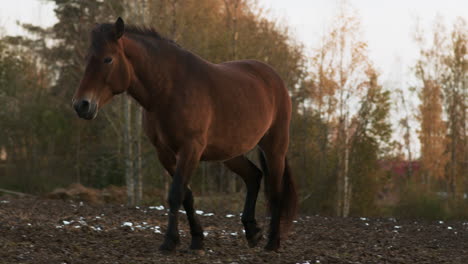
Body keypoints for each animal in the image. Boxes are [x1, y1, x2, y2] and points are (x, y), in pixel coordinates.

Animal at [73, 17, 298, 253]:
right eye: (88, 59)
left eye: (108, 59)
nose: (81, 105)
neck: (168, 89)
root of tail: (273, 77)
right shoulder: (165, 153)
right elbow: (186, 195)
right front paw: (196, 239)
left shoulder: (190, 149)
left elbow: (176, 194)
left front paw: (169, 241)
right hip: (230, 153)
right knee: (254, 176)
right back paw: (252, 231)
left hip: (274, 147)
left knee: (276, 192)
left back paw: (272, 242)